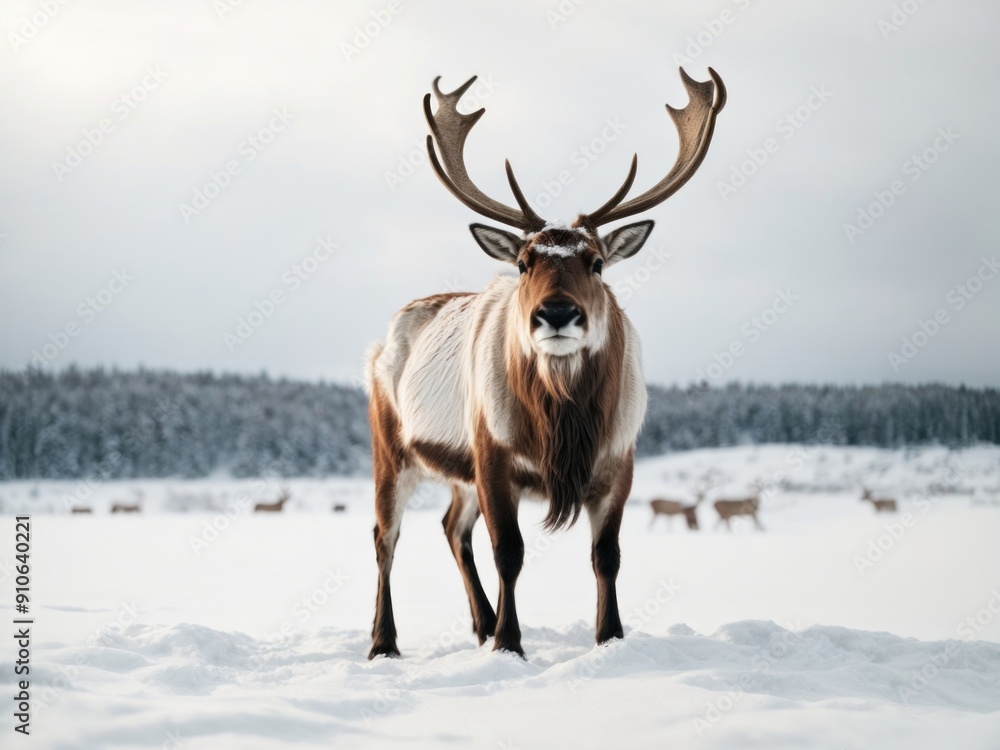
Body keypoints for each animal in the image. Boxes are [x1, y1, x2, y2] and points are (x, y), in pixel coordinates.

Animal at [364, 67, 726, 659]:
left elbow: (608, 557)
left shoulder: (619, 459)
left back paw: (480, 624)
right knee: (385, 536)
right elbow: (509, 552)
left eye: (596, 261)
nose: (556, 312)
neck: (563, 423)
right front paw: (510, 644)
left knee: (451, 527)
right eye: (523, 261)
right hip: (390, 446)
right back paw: (384, 642)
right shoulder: (492, 452)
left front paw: (610, 637)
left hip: (457, 474)